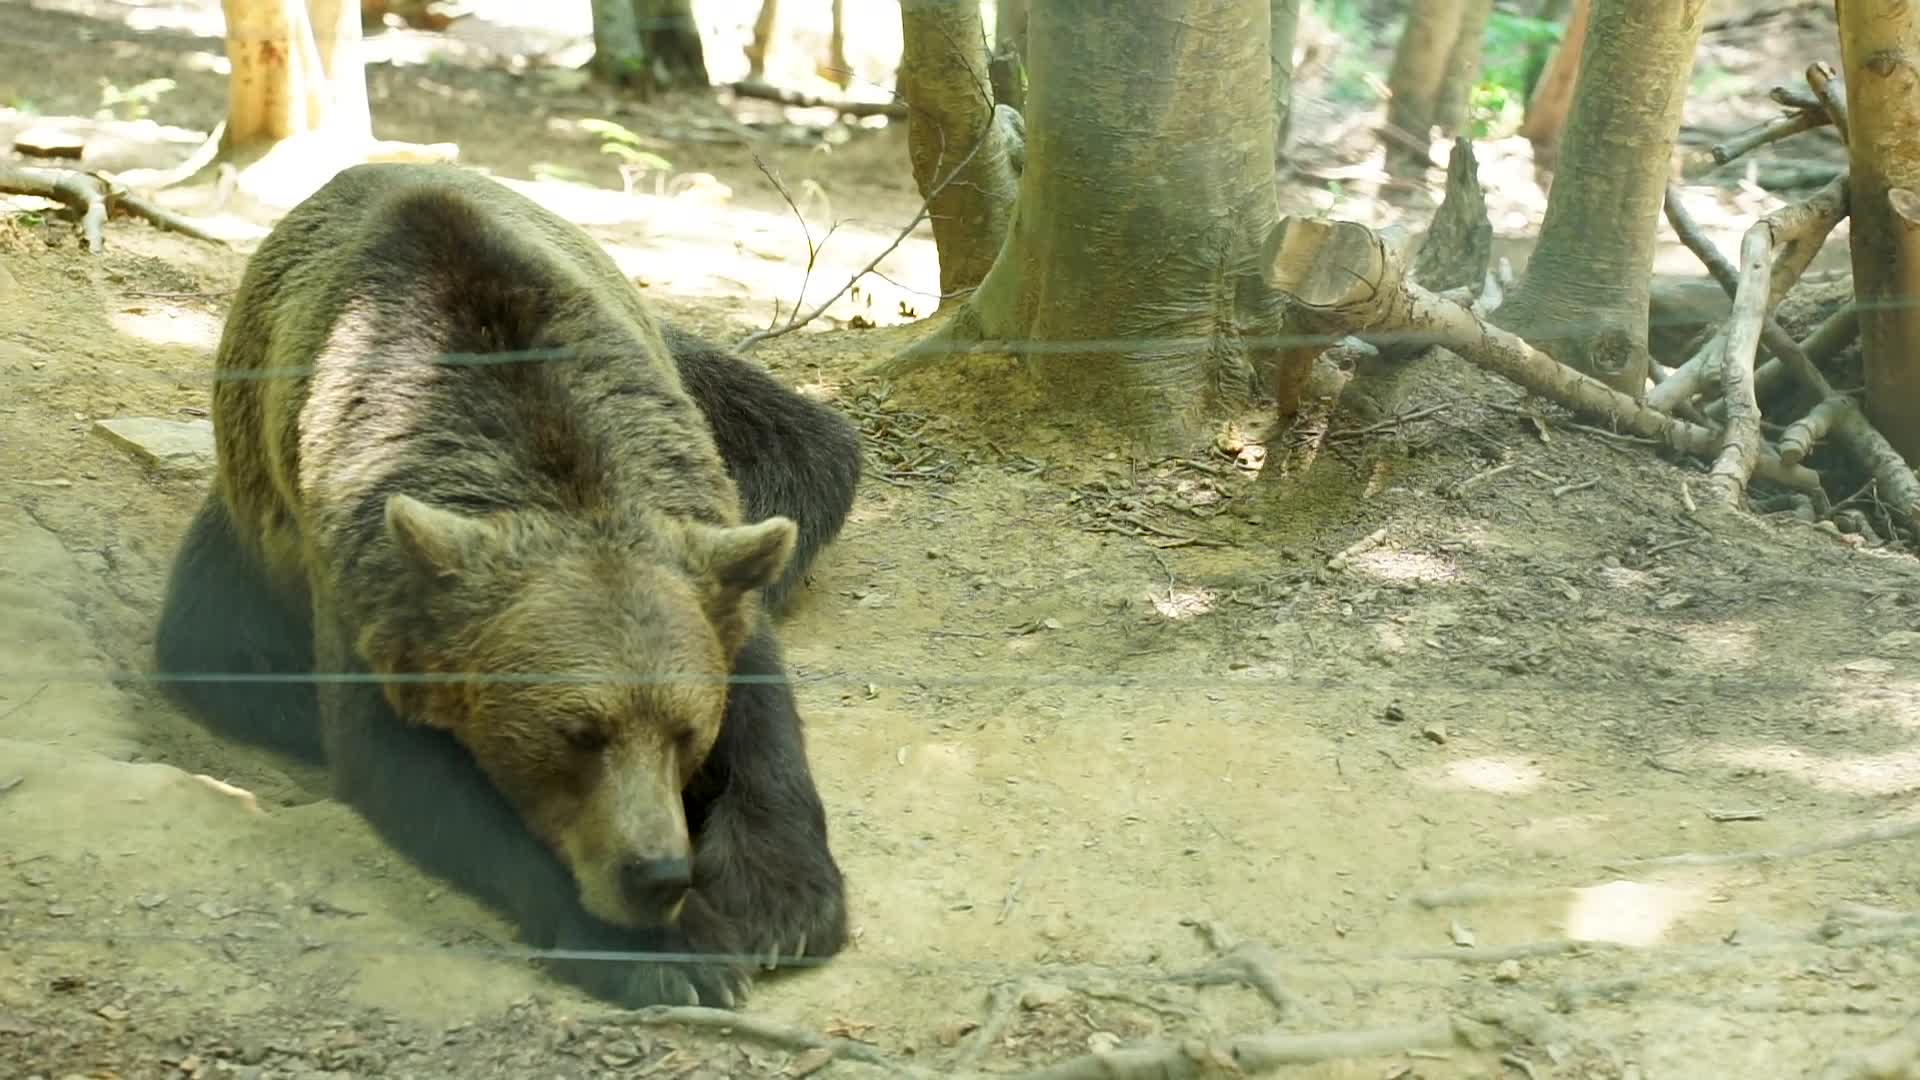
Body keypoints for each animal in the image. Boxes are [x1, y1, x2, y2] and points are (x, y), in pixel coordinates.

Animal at [149, 161, 863, 1009]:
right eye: (576, 733)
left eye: (687, 731)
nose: (658, 872)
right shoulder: (370, 590)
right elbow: (410, 771)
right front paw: (673, 951)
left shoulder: (700, 550)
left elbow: (759, 707)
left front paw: (783, 899)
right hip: (248, 536)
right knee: (221, 647)